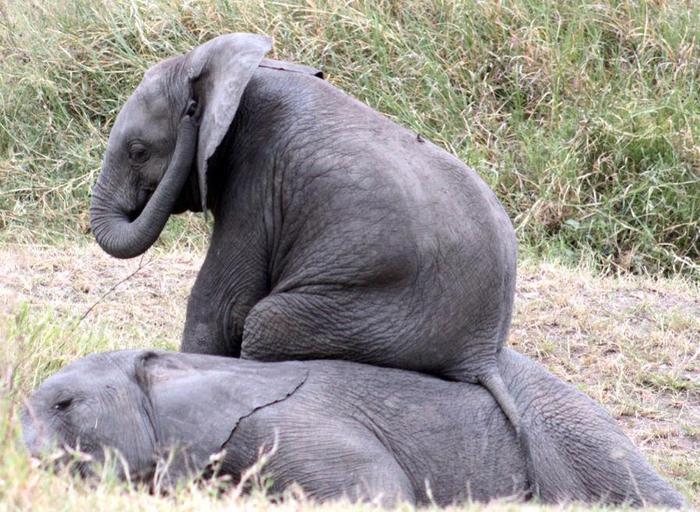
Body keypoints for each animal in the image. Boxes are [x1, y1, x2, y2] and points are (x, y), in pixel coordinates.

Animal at [89, 35, 524, 472]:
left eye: (138, 151)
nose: (190, 116)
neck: (241, 72)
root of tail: (482, 357)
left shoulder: (257, 181)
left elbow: (221, 304)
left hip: (378, 317)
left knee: (266, 323)